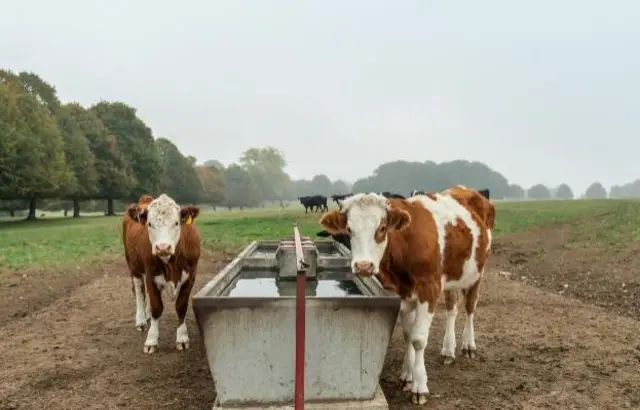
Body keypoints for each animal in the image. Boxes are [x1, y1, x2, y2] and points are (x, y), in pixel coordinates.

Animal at [121, 194, 199, 354]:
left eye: (176, 223)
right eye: (149, 224)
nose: (162, 247)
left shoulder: (191, 276)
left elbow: (181, 306)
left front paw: (182, 338)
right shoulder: (150, 275)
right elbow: (157, 307)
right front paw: (151, 340)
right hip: (132, 265)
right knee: (139, 290)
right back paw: (141, 320)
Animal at [320, 187, 496, 406]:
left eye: (382, 228)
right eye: (349, 230)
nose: (363, 266)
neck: (405, 243)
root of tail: (465, 189)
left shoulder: (429, 289)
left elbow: (419, 339)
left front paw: (419, 386)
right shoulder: (403, 293)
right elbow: (408, 335)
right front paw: (407, 375)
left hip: (478, 271)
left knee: (471, 306)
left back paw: (468, 345)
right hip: (452, 277)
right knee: (451, 308)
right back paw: (448, 349)